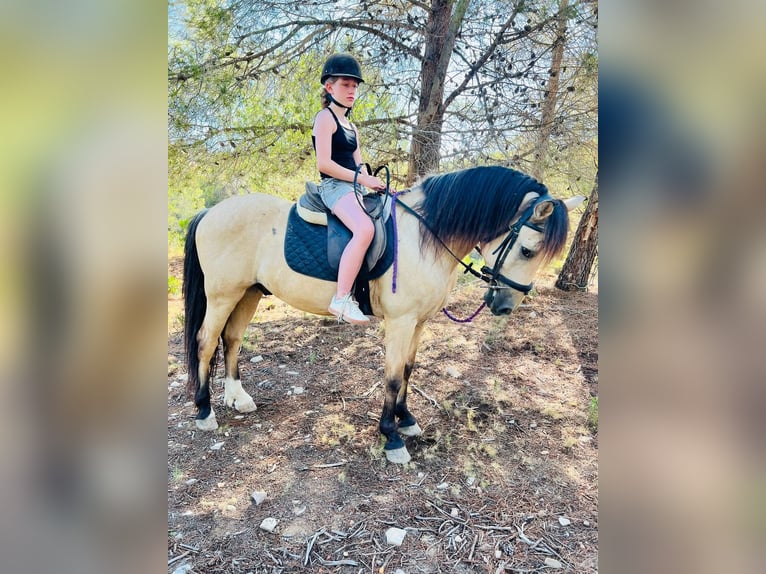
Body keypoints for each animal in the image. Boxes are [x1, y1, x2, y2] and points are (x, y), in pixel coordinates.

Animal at [182, 165, 584, 463]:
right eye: (529, 251)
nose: (505, 306)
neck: (424, 236)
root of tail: (210, 212)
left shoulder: (419, 322)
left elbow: (407, 370)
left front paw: (406, 420)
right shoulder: (401, 322)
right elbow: (391, 378)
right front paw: (391, 437)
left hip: (248, 293)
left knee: (232, 339)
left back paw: (238, 398)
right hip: (222, 295)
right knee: (205, 343)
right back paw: (204, 411)